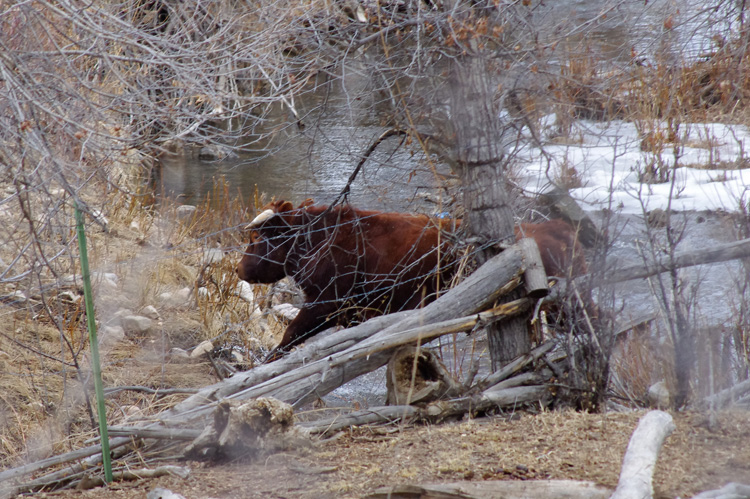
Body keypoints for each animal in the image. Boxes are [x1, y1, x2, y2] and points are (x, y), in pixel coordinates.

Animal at [239, 201, 588, 358]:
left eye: (256, 238)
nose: (240, 269)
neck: (318, 241)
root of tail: (563, 230)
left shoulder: (326, 303)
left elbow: (290, 336)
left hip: (562, 302)